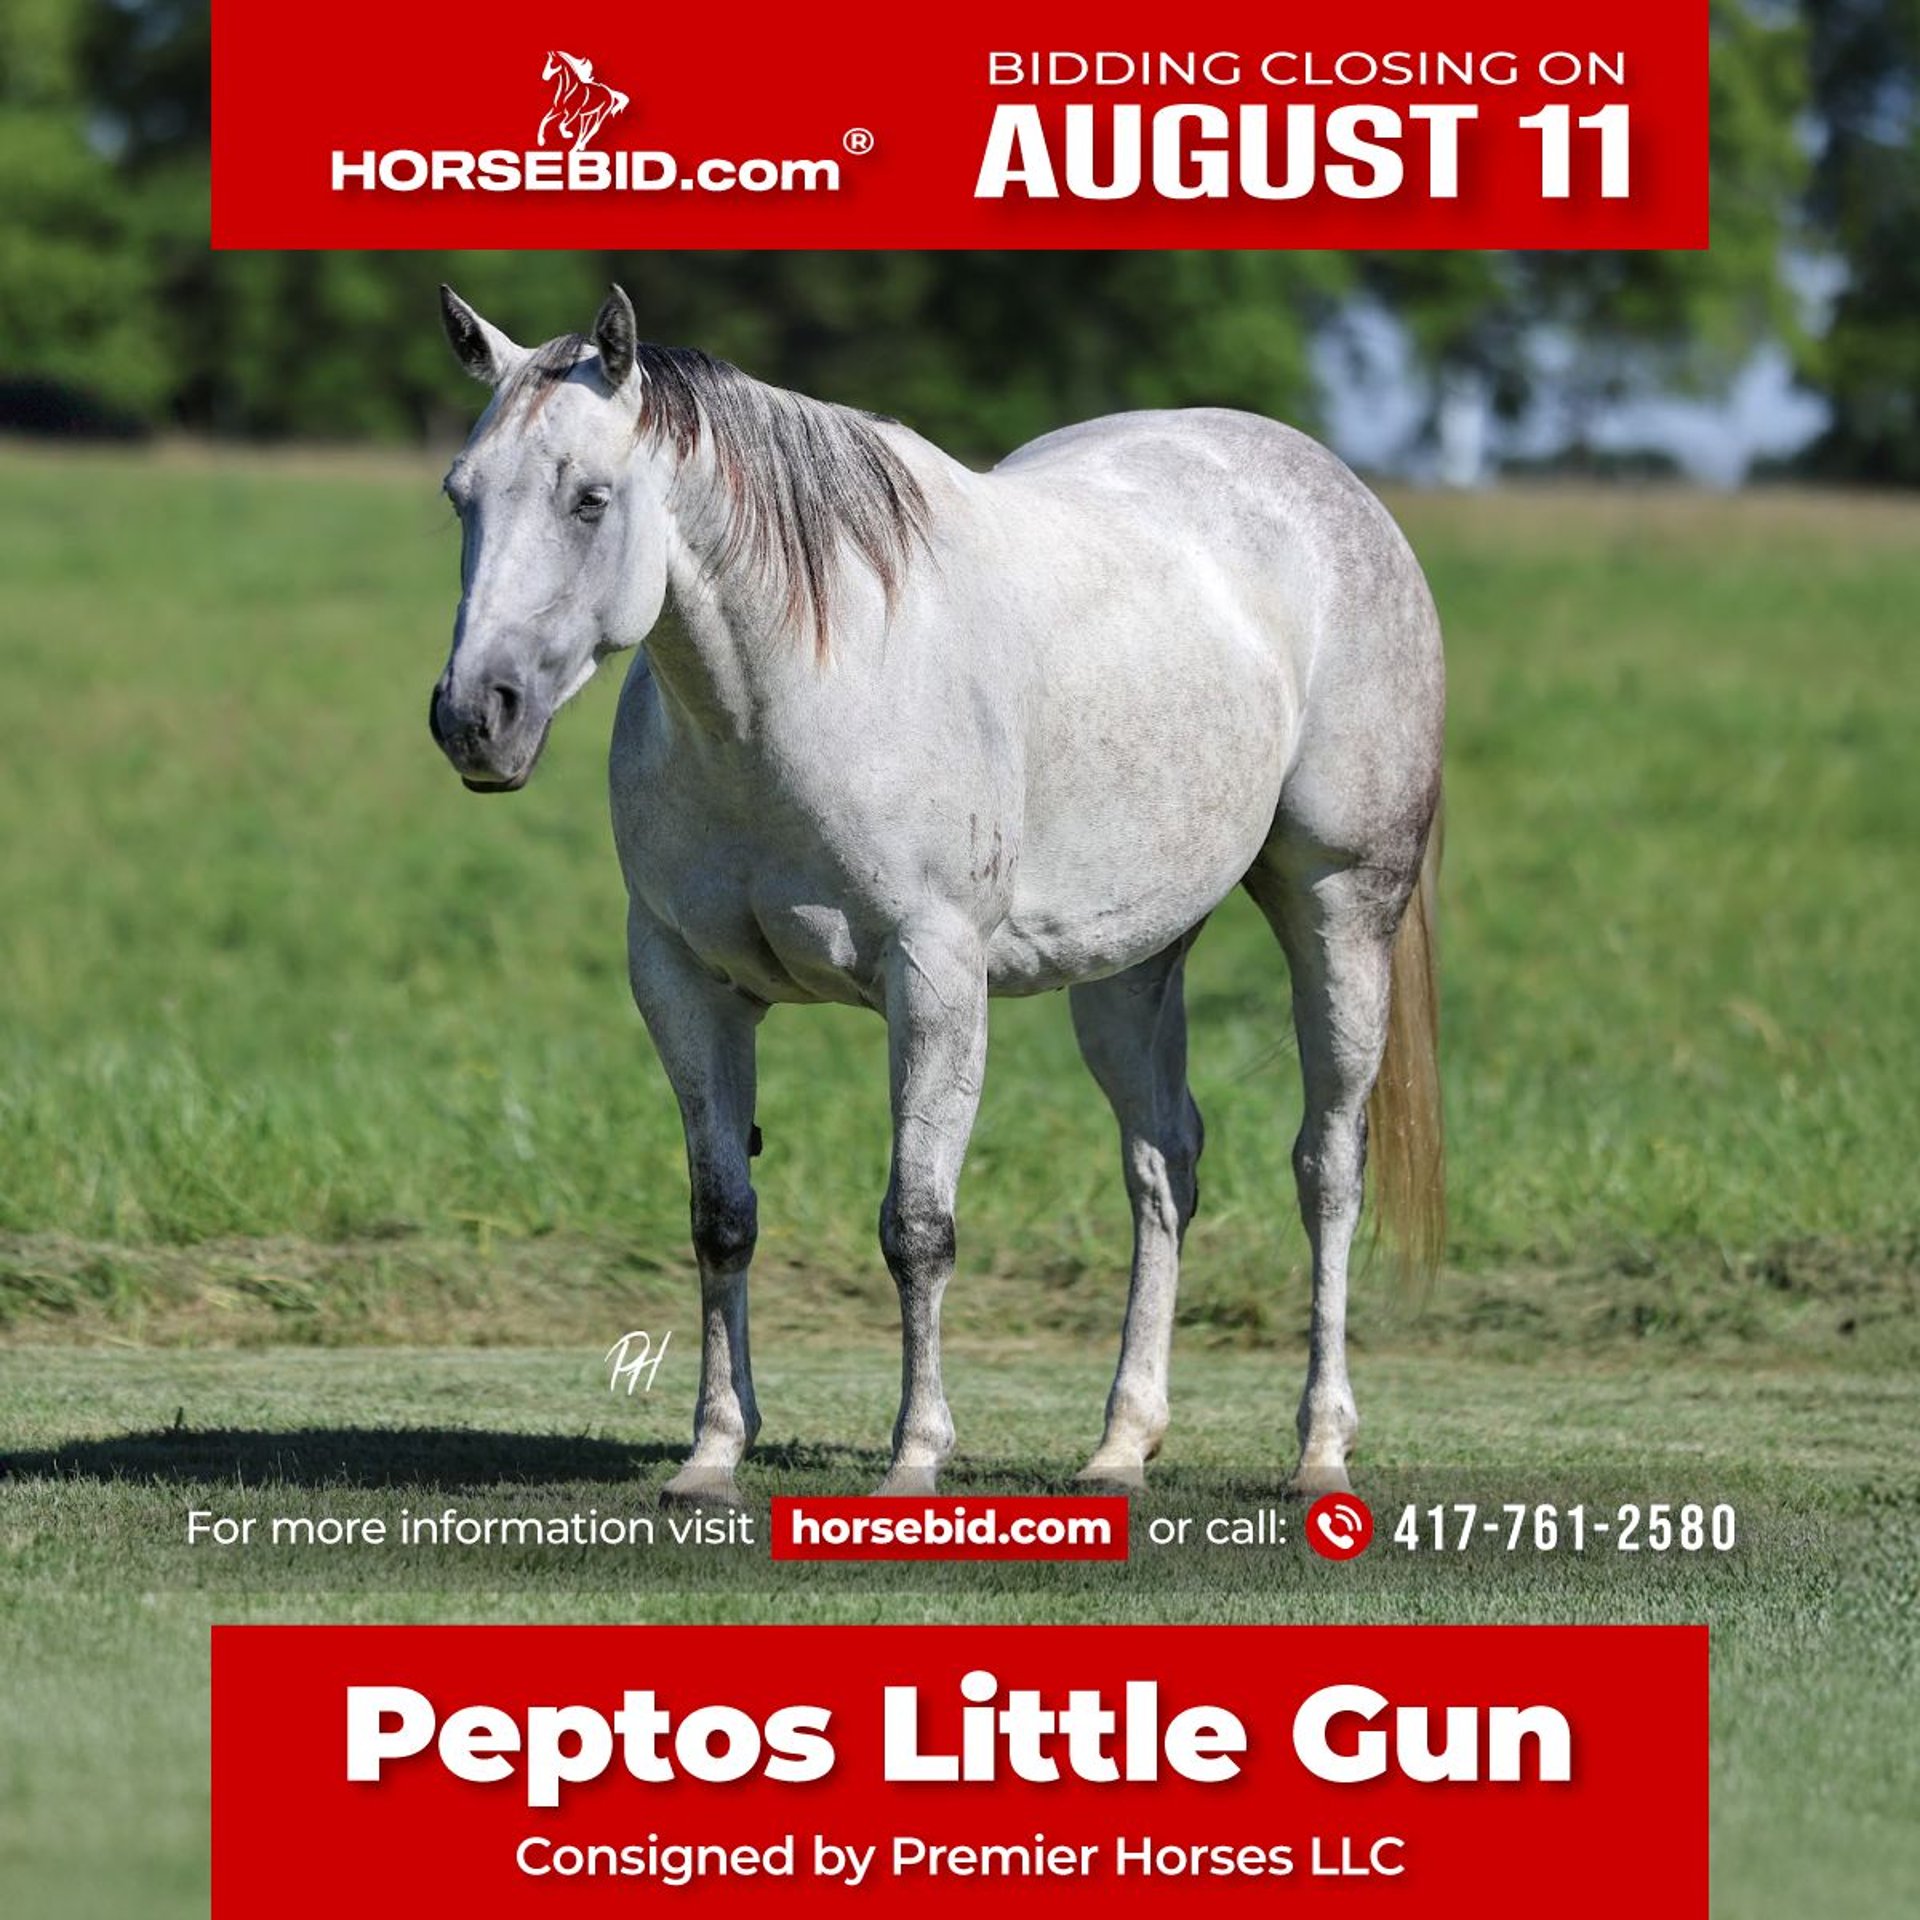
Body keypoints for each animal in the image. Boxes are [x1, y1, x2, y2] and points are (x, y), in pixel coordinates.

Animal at [429, 283, 1445, 1504]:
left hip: (1342, 910)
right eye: (460, 498)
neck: (799, 691)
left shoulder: (935, 979)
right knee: (1164, 1164)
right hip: (1130, 962)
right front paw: (713, 1453)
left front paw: (915, 1458)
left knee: (1325, 1167)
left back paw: (1320, 1449)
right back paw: (1120, 1445)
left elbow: (918, 1226)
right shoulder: (683, 982)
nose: (475, 717)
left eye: (590, 499)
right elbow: (722, 1218)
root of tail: (1338, 493)